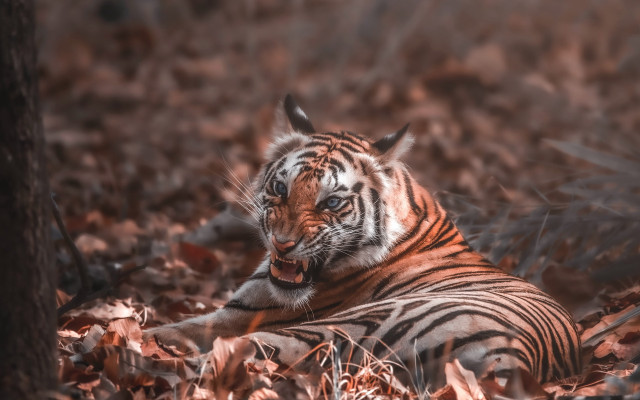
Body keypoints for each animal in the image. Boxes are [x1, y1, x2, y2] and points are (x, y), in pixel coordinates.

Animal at [144, 95, 581, 387]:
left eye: (332, 202)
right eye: (281, 188)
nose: (282, 244)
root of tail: (515, 358)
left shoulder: (245, 315)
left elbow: (170, 330)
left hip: (342, 326)